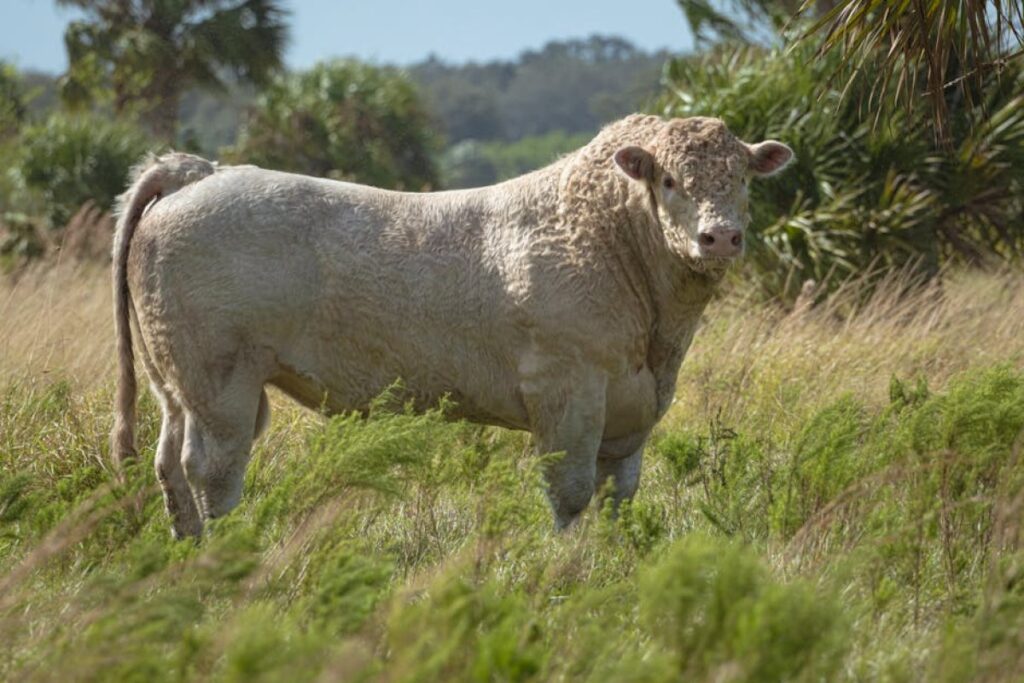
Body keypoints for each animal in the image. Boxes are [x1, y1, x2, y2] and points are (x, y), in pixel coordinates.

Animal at [110, 114, 793, 538]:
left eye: (741, 178)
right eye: (671, 180)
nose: (720, 236)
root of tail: (202, 171)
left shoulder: (634, 408)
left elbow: (618, 496)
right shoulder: (566, 389)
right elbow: (571, 493)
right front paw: (569, 569)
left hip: (178, 382)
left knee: (169, 464)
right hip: (220, 381)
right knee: (212, 470)